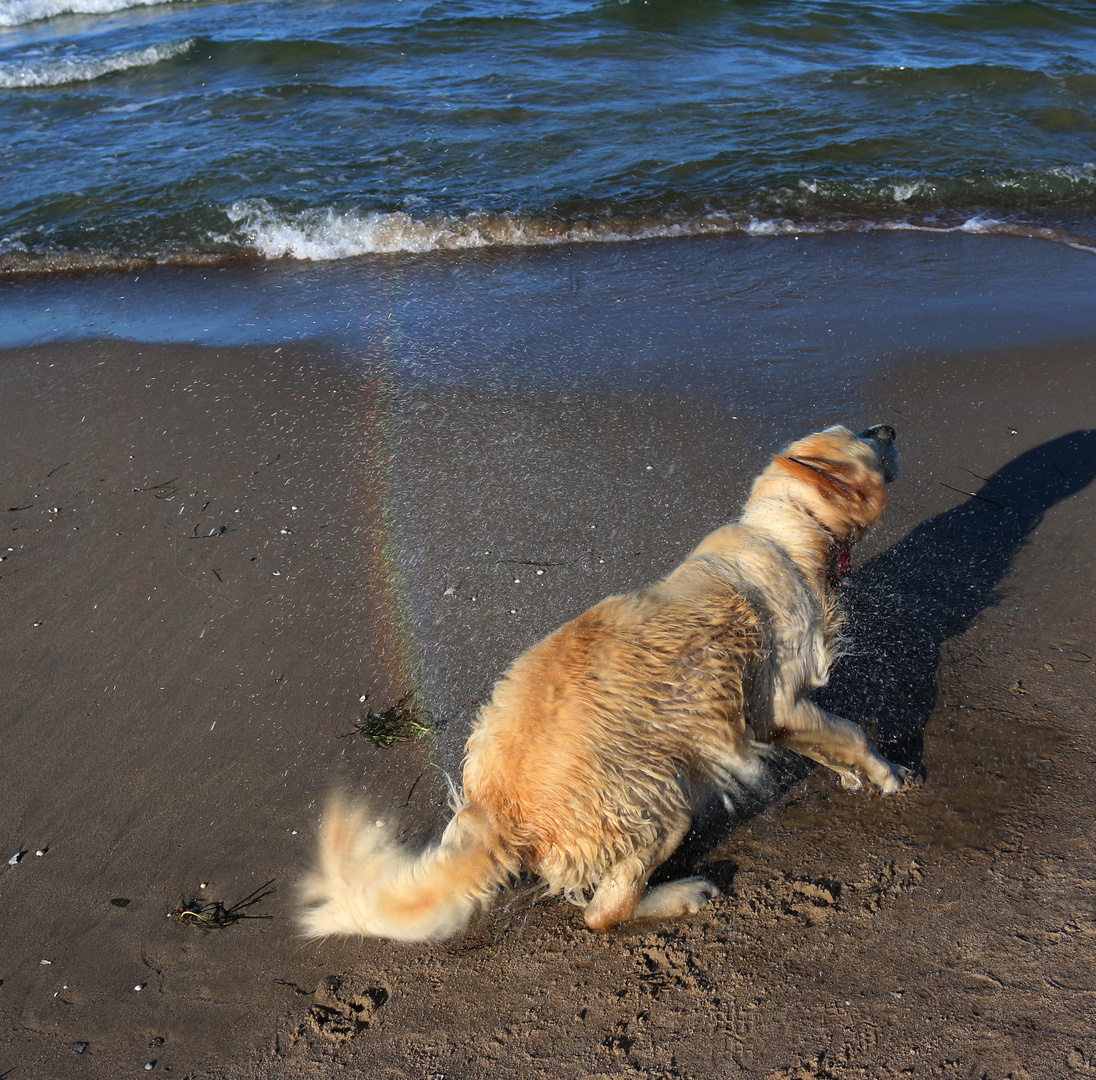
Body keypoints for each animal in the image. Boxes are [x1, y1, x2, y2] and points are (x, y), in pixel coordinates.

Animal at [302, 425, 907, 938]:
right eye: (860, 437)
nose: (889, 428)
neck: (786, 529)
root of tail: (498, 807)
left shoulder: (776, 717)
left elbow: (829, 741)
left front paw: (852, 774)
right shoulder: (776, 699)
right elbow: (853, 732)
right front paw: (889, 773)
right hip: (657, 804)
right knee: (603, 913)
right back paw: (683, 893)